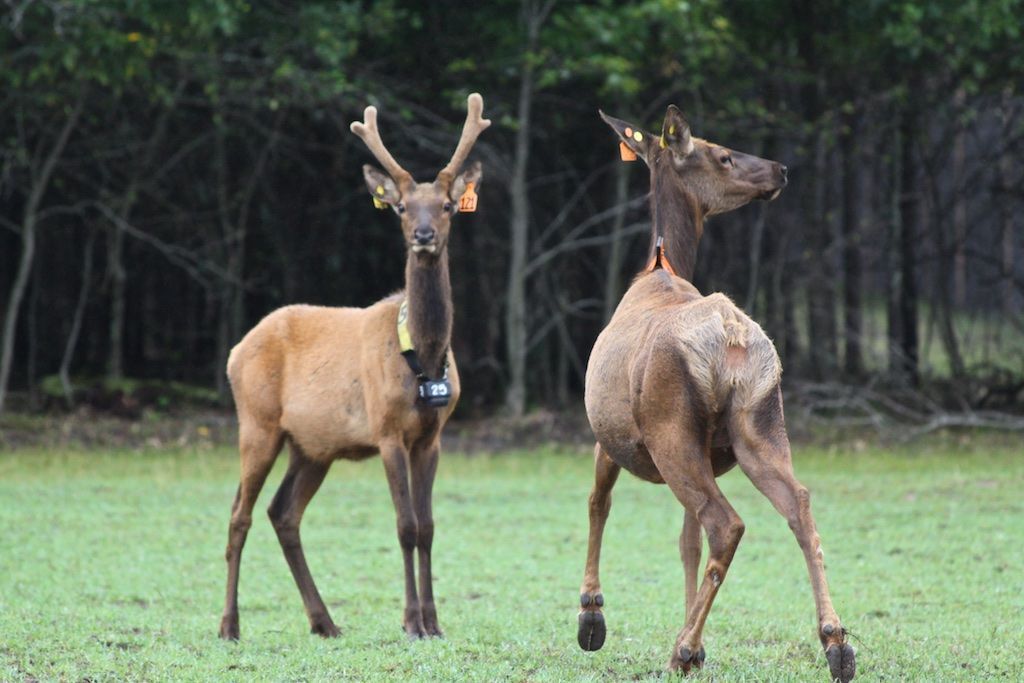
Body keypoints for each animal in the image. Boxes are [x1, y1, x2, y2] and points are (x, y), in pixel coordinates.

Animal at [218, 93, 489, 641]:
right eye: (402, 208)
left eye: (448, 206)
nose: (423, 235)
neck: (423, 357)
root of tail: (236, 351)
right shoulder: (386, 429)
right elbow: (405, 525)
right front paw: (411, 622)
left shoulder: (432, 435)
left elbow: (429, 527)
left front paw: (435, 622)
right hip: (256, 422)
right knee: (240, 514)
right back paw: (229, 626)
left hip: (311, 445)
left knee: (283, 513)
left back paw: (324, 621)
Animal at [576, 105, 856, 683]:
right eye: (723, 154)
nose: (779, 169)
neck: (660, 267)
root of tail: (730, 340)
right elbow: (685, 541)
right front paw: (698, 643)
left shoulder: (605, 433)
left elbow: (598, 502)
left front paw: (591, 617)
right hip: (760, 422)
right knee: (798, 504)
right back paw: (836, 642)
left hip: (670, 431)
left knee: (726, 523)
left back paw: (681, 648)